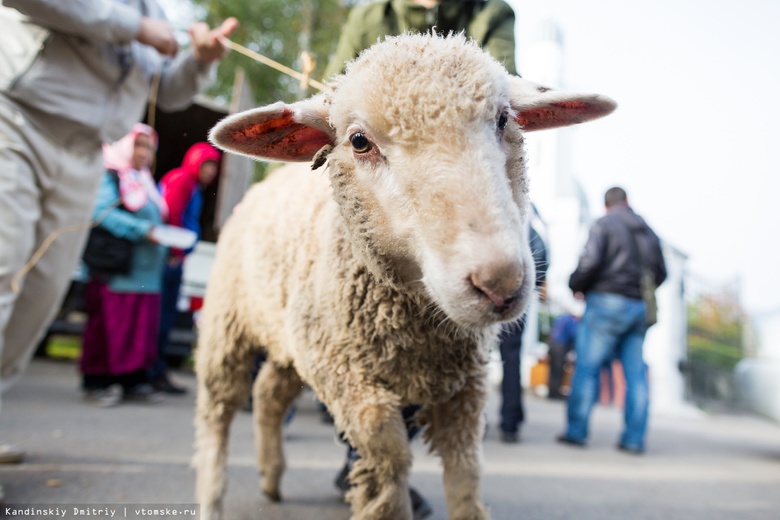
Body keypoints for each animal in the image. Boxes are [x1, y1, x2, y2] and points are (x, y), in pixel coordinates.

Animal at [192, 32, 612, 520]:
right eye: (359, 141)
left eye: (504, 118)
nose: (500, 282)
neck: (416, 324)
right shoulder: (343, 372)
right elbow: (389, 454)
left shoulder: (464, 384)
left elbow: (466, 473)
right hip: (228, 325)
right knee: (218, 411)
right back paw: (212, 495)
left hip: (288, 336)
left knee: (269, 393)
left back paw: (271, 477)